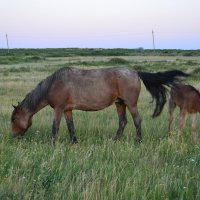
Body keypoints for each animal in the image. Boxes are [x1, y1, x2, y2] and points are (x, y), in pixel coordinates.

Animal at [10, 66, 188, 145]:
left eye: (13, 119)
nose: (13, 136)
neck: (54, 84)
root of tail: (136, 72)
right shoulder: (67, 110)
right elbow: (70, 126)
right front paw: (74, 142)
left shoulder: (59, 109)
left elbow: (55, 127)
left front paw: (52, 144)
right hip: (120, 104)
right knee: (123, 122)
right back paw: (115, 140)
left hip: (130, 104)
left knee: (137, 121)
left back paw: (138, 141)